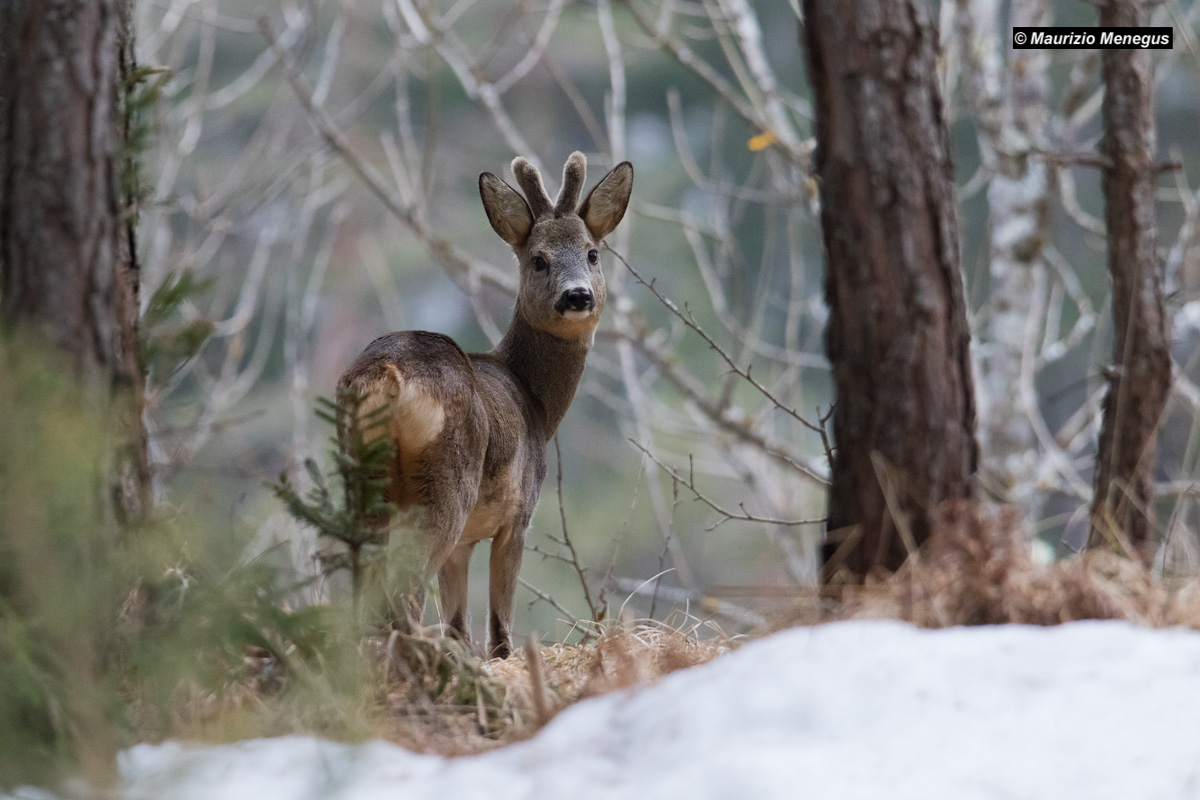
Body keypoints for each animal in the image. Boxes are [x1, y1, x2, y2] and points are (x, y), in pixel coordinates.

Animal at [337, 152, 633, 659]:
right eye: (538, 259)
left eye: (593, 253)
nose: (578, 295)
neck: (536, 403)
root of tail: (388, 376)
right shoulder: (518, 515)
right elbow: (498, 625)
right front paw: (503, 659)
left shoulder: (464, 545)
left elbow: (459, 621)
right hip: (445, 483)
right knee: (406, 592)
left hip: (362, 479)